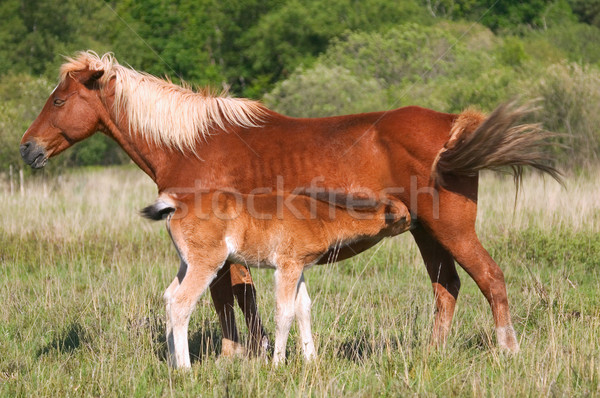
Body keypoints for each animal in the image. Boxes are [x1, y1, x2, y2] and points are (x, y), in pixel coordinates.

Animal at [143, 190, 410, 366]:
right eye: (405, 216)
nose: (414, 222)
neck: (318, 215)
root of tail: (178, 203)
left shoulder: (299, 268)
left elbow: (303, 308)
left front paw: (311, 360)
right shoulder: (286, 267)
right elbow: (285, 312)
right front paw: (278, 364)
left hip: (186, 263)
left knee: (169, 296)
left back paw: (172, 362)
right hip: (206, 264)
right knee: (182, 302)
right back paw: (185, 368)